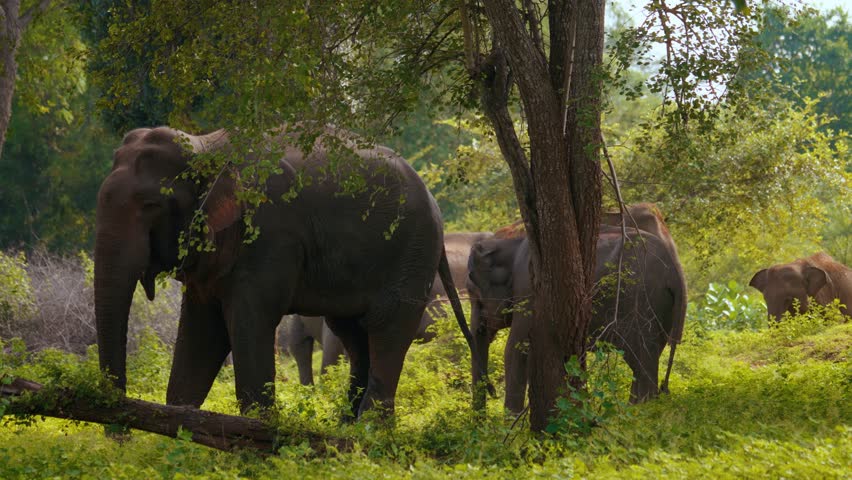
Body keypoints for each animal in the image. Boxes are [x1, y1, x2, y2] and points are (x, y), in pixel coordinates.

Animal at [467, 226, 687, 413]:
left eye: (474, 296)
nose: (493, 392)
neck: (510, 243)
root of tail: (676, 275)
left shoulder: (529, 290)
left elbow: (517, 348)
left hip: (641, 303)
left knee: (641, 363)